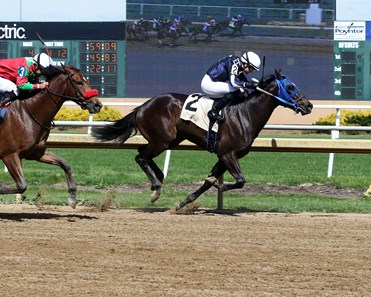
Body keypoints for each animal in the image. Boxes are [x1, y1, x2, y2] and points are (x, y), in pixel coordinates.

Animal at [0, 63, 102, 207]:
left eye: (86, 80)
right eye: (79, 82)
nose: (98, 105)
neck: (27, 113)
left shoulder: (36, 152)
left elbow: (65, 164)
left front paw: (72, 197)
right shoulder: (9, 155)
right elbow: (21, 186)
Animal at [93, 69, 314, 209]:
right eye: (290, 87)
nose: (309, 105)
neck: (246, 113)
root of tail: (142, 106)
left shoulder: (224, 156)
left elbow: (210, 182)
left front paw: (183, 202)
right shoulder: (227, 153)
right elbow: (240, 180)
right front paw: (219, 186)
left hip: (169, 140)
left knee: (142, 154)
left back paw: (159, 179)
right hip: (163, 139)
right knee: (141, 157)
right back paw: (156, 188)